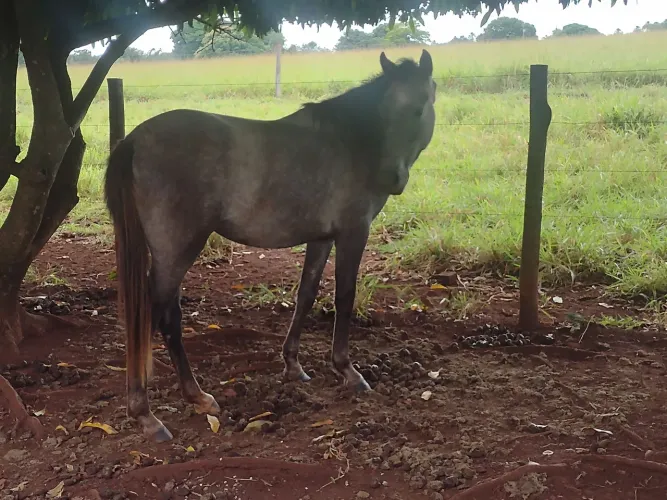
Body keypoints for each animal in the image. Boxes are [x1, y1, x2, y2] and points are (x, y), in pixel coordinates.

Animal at [104, 49, 437, 442]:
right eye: (387, 108)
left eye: (420, 106)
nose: (392, 178)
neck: (350, 143)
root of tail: (133, 141)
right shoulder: (353, 233)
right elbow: (345, 297)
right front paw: (348, 371)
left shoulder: (321, 237)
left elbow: (306, 294)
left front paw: (293, 365)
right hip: (176, 252)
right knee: (156, 318)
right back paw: (147, 412)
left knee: (166, 318)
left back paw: (193, 396)